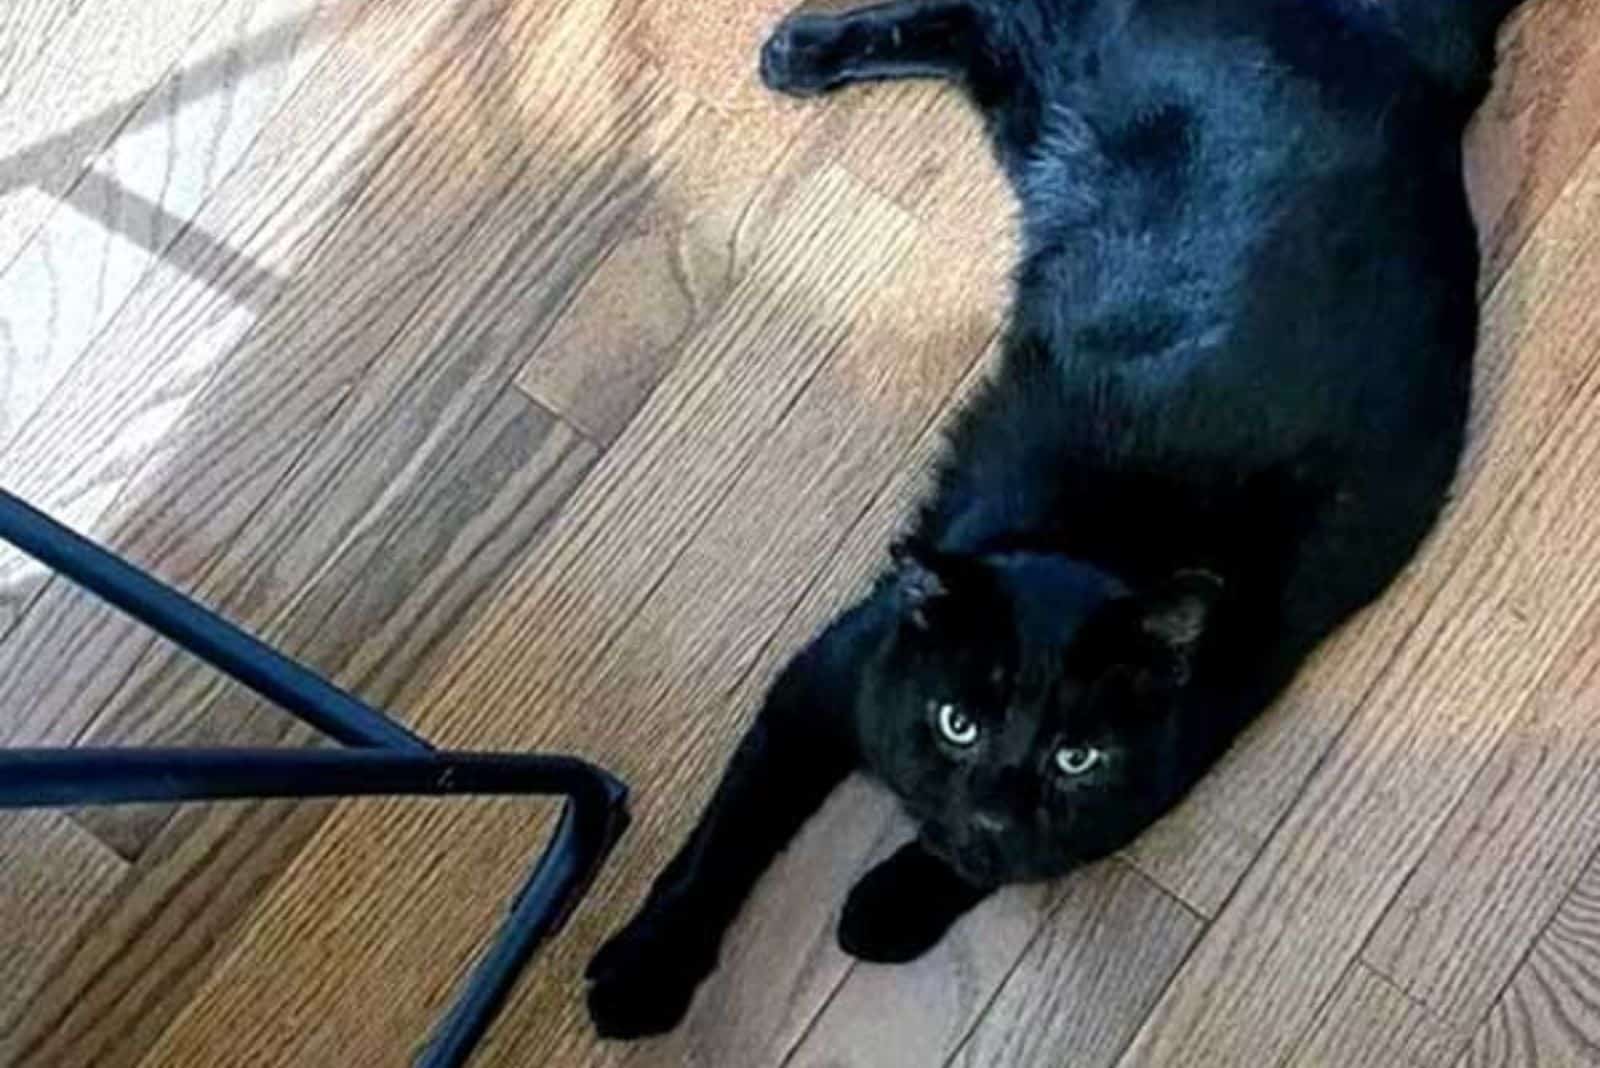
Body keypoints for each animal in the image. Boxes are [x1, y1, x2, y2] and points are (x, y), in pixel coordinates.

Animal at [585, 0, 1523, 1036]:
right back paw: (803, 53)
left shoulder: (1171, 755)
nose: (992, 809)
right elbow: (727, 839)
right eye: (958, 723)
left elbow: (1037, 855)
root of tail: (1404, 53)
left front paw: (895, 904)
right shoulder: (822, 681)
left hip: (1045, 97)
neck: (1098, 538)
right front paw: (646, 970)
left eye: (1076, 757)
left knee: (991, 26)